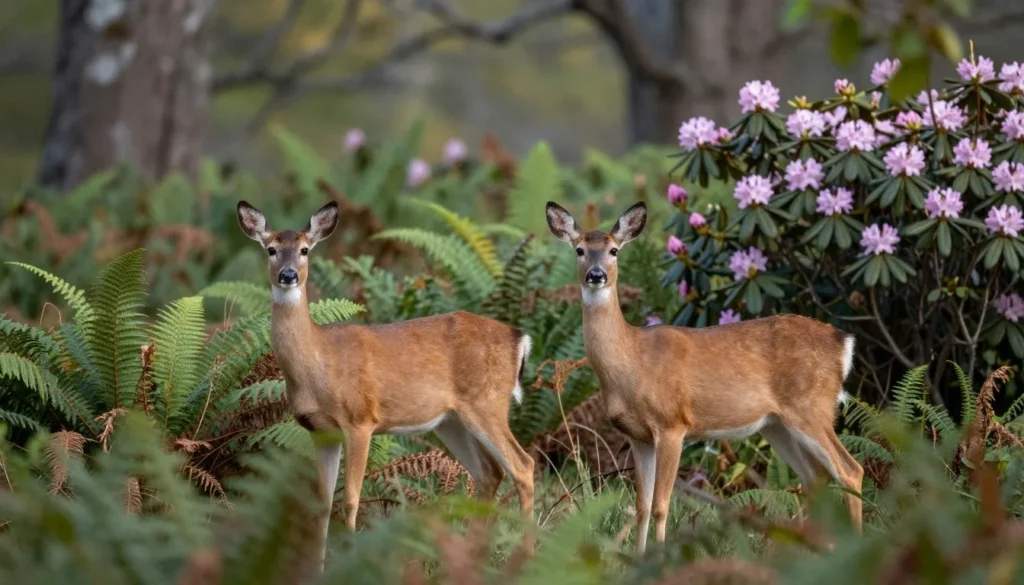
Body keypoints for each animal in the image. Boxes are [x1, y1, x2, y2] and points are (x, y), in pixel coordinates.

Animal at [236, 200, 536, 570]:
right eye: (271, 249)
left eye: (305, 250)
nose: (288, 275)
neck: (317, 365)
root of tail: (519, 339)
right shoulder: (321, 431)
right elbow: (321, 506)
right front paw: (316, 570)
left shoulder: (360, 420)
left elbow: (350, 499)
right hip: (451, 420)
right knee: (490, 473)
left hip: (487, 402)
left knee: (523, 466)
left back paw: (526, 559)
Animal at [544, 200, 863, 553]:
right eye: (579, 250)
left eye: (614, 250)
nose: (596, 275)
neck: (632, 362)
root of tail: (843, 342)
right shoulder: (638, 436)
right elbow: (641, 507)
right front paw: (638, 557)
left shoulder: (672, 424)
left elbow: (661, 505)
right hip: (777, 424)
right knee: (815, 477)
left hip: (811, 407)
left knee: (851, 470)